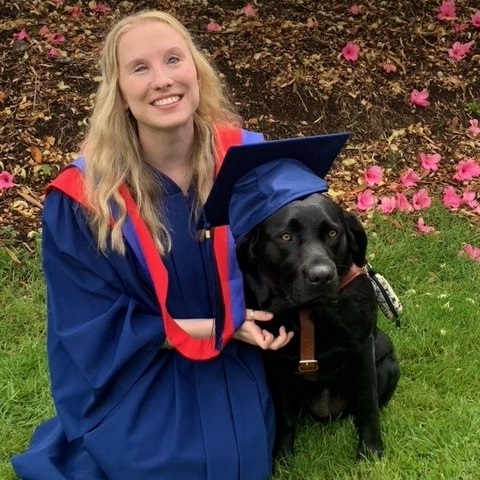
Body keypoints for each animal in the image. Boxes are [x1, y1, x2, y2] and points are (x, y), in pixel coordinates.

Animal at [237, 193, 402, 460]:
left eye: (333, 233)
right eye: (285, 236)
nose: (322, 276)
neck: (309, 312)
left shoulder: (363, 347)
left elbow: (368, 405)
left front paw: (370, 451)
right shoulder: (274, 360)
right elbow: (284, 416)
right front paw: (283, 456)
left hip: (386, 358)